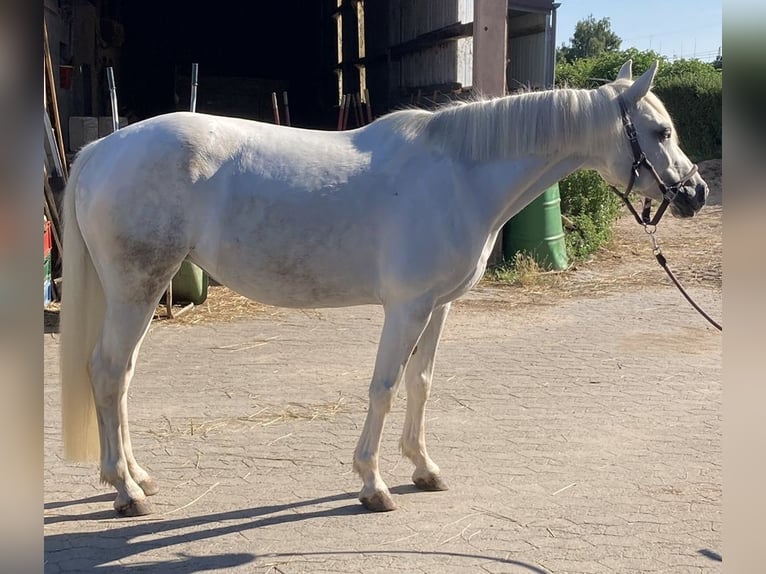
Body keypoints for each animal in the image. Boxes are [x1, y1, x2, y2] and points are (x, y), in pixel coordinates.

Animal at [61, 59, 712, 516]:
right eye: (660, 131)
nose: (695, 193)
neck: (458, 174)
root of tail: (102, 149)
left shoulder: (438, 308)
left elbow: (421, 384)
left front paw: (424, 469)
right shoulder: (406, 307)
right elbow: (385, 386)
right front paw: (372, 483)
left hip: (139, 293)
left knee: (121, 377)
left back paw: (137, 477)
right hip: (137, 289)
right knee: (109, 372)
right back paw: (125, 492)